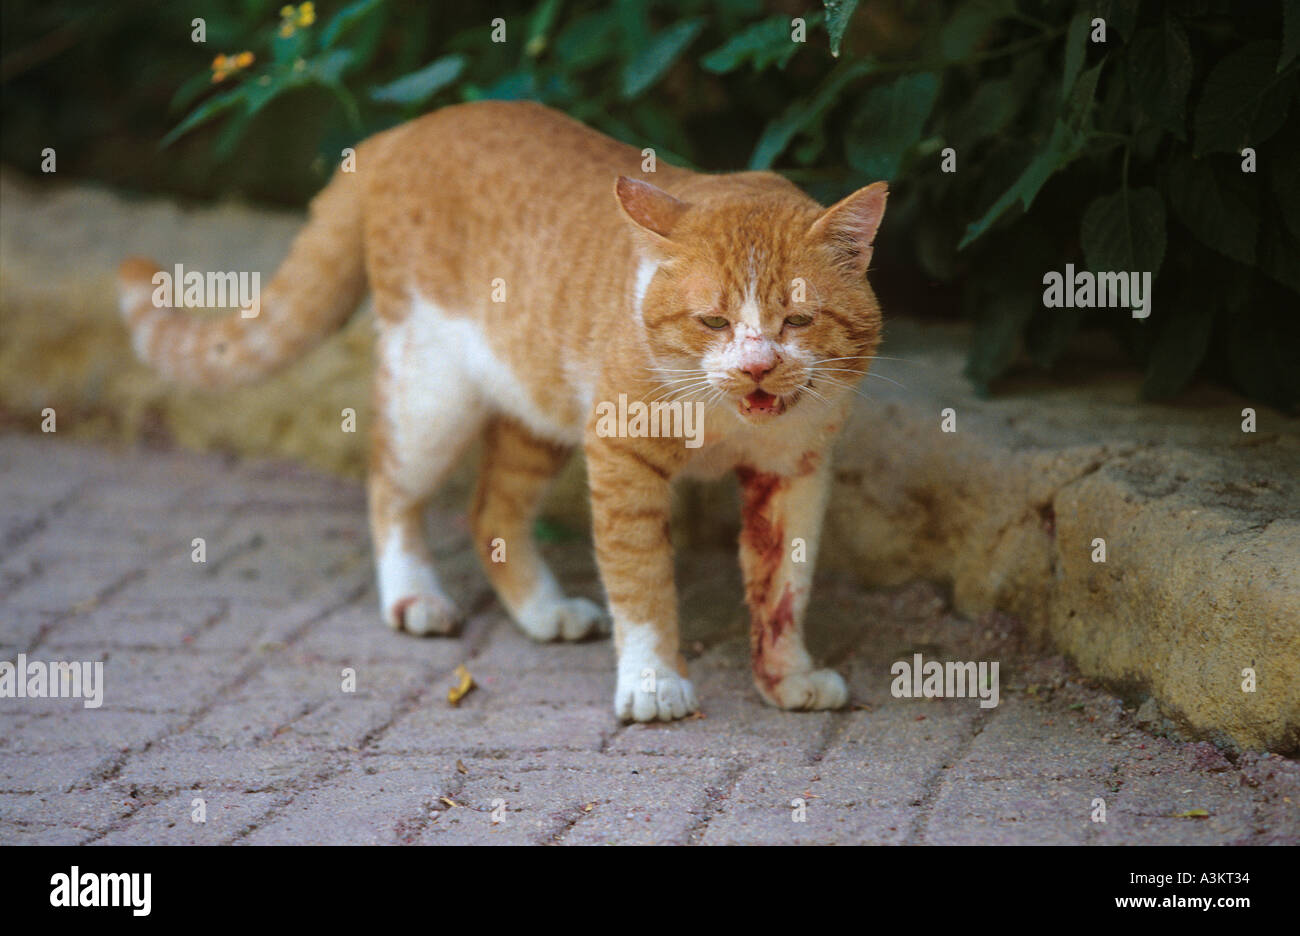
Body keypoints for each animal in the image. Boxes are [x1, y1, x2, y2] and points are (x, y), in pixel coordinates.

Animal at [119, 98, 883, 722]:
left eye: (797, 320)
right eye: (714, 321)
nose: (756, 366)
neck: (727, 419)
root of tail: (405, 130)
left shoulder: (794, 471)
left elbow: (785, 587)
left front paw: (786, 678)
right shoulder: (622, 455)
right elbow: (639, 579)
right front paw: (653, 682)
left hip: (536, 411)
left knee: (491, 509)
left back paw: (543, 610)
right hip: (430, 397)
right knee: (389, 484)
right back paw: (413, 598)